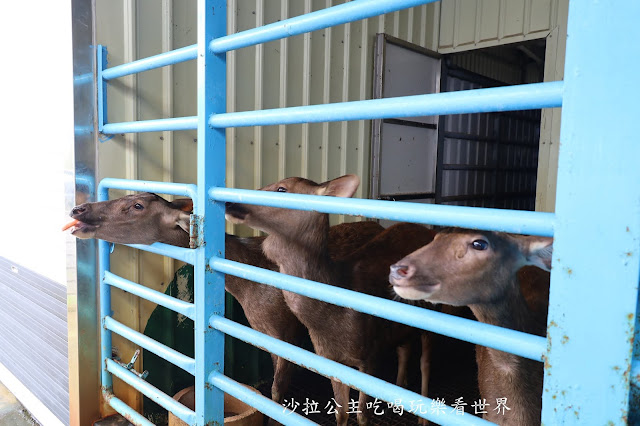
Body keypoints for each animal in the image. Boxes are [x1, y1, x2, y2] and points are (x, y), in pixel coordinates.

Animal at [65, 191, 384, 408]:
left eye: (137, 206)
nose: (79, 208)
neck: (245, 287)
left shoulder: (285, 331)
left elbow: (277, 390)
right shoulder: (264, 332)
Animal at [222, 176, 438, 426]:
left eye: (282, 189)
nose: (229, 202)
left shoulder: (368, 355)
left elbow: (361, 415)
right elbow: (340, 413)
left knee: (426, 362)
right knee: (405, 346)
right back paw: (400, 386)